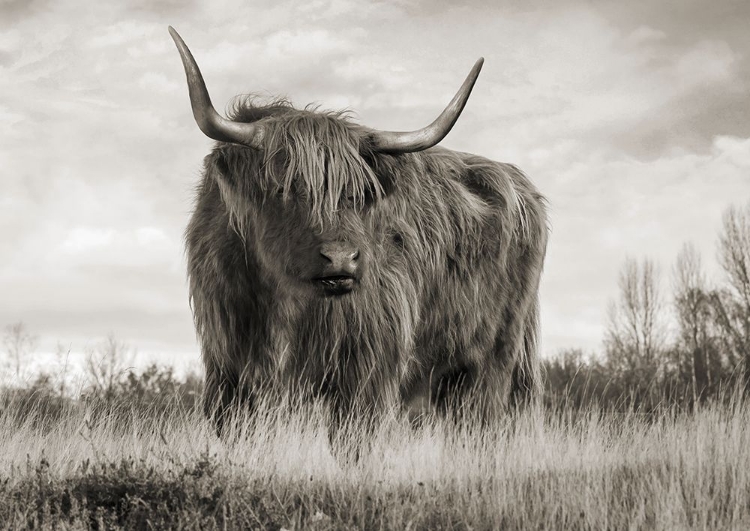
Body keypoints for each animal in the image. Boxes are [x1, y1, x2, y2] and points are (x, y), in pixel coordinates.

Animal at [172, 27, 552, 438]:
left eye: (359, 194)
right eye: (282, 188)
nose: (341, 258)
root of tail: (520, 184)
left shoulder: (367, 368)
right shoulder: (227, 369)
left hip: (493, 361)